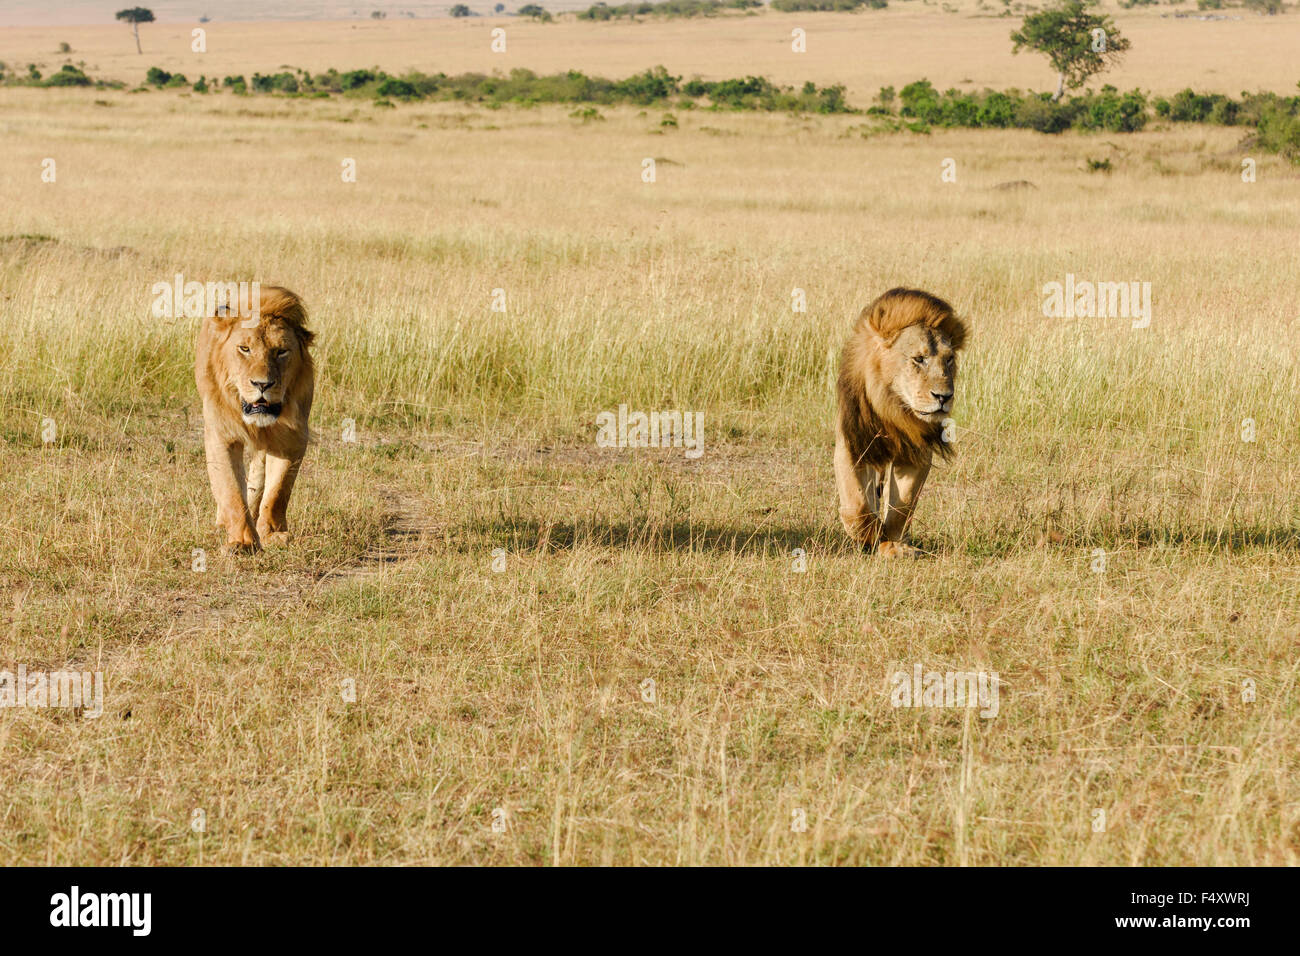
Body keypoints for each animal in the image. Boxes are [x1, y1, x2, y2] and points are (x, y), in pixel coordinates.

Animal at [193, 283, 313, 554]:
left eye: (281, 351)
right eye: (244, 349)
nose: (262, 384)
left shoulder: (292, 438)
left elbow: (277, 492)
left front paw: (272, 534)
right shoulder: (221, 435)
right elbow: (231, 491)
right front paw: (243, 542)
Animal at [832, 287, 967, 556]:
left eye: (948, 359)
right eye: (918, 359)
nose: (944, 397)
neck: (894, 409)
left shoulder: (915, 452)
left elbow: (902, 506)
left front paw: (893, 546)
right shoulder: (853, 442)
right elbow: (856, 504)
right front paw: (868, 534)